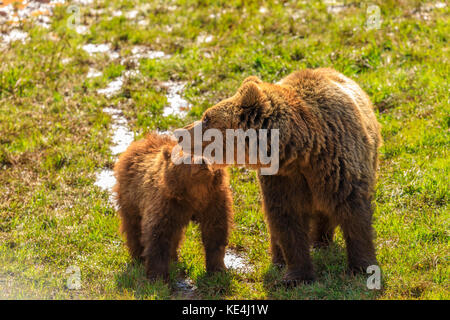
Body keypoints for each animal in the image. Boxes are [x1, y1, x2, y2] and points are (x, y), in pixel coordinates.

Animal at [185, 68, 380, 284]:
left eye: (206, 118)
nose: (181, 131)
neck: (301, 150)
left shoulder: (337, 165)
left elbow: (354, 213)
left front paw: (361, 267)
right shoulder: (281, 179)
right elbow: (287, 221)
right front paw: (296, 276)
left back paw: (321, 241)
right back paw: (280, 259)